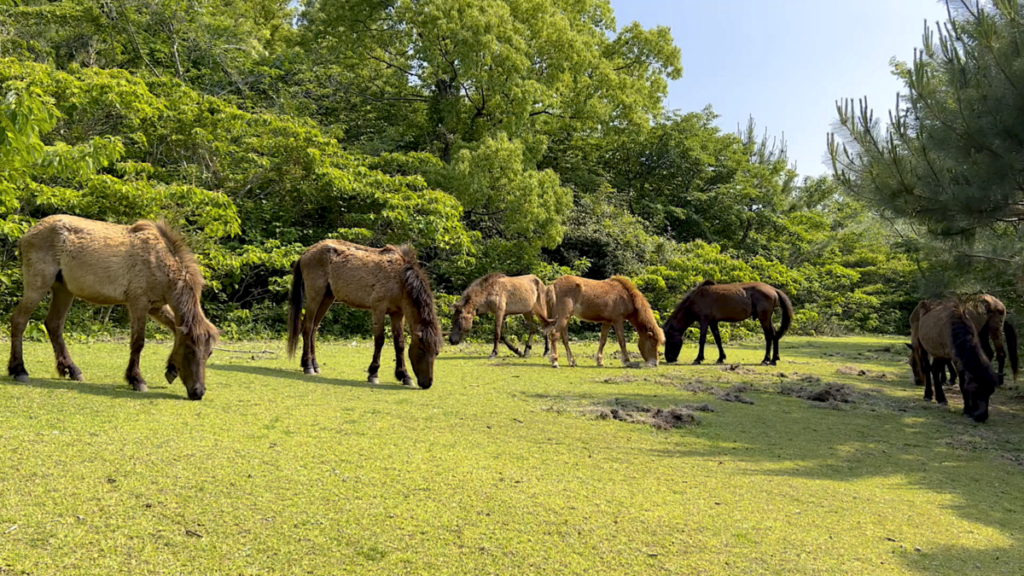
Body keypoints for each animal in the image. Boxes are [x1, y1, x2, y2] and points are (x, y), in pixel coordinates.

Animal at [8, 215, 218, 400]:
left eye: (209, 353)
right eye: (190, 350)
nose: (198, 392)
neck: (159, 260)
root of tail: (29, 233)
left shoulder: (157, 307)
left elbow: (175, 330)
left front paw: (171, 368)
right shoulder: (139, 304)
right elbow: (138, 342)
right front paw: (136, 380)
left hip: (64, 290)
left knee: (54, 325)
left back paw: (72, 370)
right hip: (38, 285)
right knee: (19, 320)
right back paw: (19, 370)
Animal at [287, 240, 442, 389]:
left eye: (436, 353)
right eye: (421, 351)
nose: (427, 383)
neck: (400, 277)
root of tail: (306, 253)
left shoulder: (397, 314)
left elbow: (399, 344)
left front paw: (404, 376)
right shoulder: (378, 309)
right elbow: (379, 340)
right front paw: (373, 373)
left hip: (327, 298)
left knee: (314, 329)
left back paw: (314, 365)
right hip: (315, 296)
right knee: (307, 328)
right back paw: (308, 366)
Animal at [662, 280, 793, 366]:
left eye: (669, 342)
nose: (669, 359)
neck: (697, 298)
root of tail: (773, 289)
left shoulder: (704, 320)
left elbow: (702, 340)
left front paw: (698, 359)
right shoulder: (713, 322)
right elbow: (718, 339)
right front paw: (721, 358)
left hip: (764, 318)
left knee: (769, 336)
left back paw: (766, 359)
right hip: (766, 318)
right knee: (775, 334)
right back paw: (774, 359)